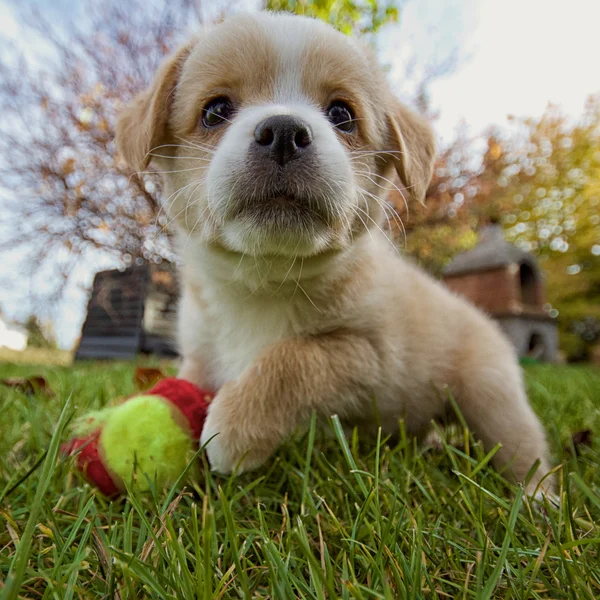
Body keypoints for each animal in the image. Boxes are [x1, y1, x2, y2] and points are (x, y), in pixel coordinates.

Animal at [117, 11, 552, 494]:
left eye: (342, 115)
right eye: (215, 111)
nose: (284, 131)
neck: (263, 279)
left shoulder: (366, 354)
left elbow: (292, 358)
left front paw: (234, 430)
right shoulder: (199, 356)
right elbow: (191, 385)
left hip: (492, 397)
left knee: (525, 453)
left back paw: (539, 499)